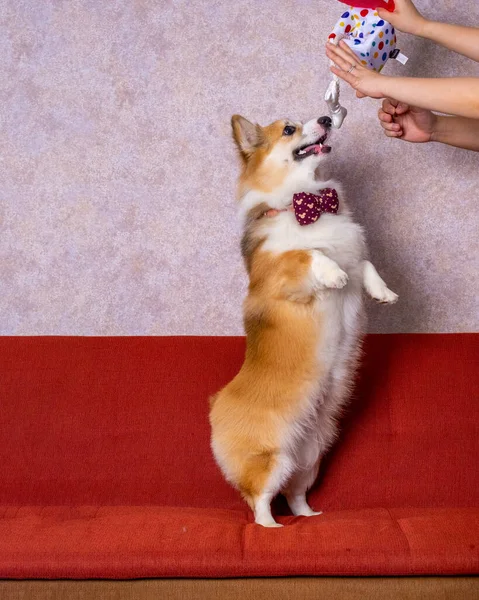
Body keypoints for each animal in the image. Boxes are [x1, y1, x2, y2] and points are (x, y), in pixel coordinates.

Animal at [209, 112, 398, 524]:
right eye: (288, 130)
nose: (326, 117)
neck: (310, 202)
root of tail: (217, 406)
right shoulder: (279, 278)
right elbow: (307, 253)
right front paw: (331, 274)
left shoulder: (354, 254)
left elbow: (364, 264)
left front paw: (383, 292)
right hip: (272, 459)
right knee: (259, 501)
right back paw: (273, 528)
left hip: (307, 460)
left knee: (294, 495)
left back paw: (309, 518)